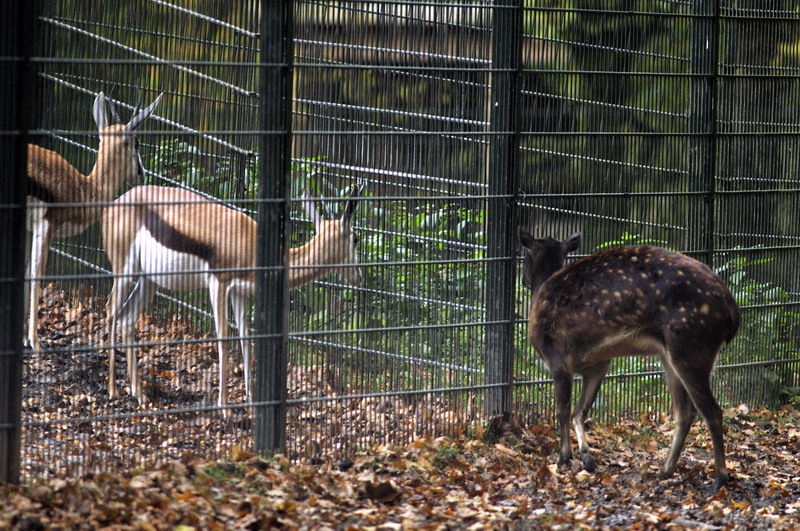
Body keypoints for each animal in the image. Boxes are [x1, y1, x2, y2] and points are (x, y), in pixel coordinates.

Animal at [25, 90, 163, 352]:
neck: (81, 189)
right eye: (136, 142)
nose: (142, 175)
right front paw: (35, 343)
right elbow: (36, 275)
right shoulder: (47, 225)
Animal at [101, 184, 365, 410]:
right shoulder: (219, 284)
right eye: (355, 238)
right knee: (111, 310)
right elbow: (224, 338)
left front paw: (250, 402)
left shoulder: (239, 292)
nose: (359, 275)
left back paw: (138, 393)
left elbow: (245, 338)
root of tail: (115, 203)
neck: (251, 244)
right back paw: (113, 390)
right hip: (125, 271)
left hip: (149, 280)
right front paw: (225, 408)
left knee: (127, 319)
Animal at [518, 227, 740, 491]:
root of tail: (733, 313)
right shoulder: (598, 364)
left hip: (691, 347)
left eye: (524, 256)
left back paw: (719, 479)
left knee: (712, 411)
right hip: (670, 355)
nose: (524, 280)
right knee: (685, 412)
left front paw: (564, 457)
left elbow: (563, 409)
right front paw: (587, 457)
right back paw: (665, 471)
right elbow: (580, 411)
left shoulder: (557, 358)